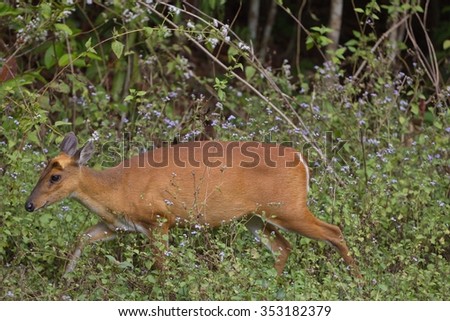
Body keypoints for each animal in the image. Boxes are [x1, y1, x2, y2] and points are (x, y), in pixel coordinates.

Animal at [25, 132, 362, 278]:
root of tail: (301, 160)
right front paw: (64, 281)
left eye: (55, 176)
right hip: (254, 217)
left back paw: (359, 283)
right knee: (283, 247)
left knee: (334, 231)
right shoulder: (117, 226)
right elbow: (81, 238)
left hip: (289, 208)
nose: (29, 205)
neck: (116, 191)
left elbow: (162, 265)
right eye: (41, 170)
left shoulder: (160, 218)